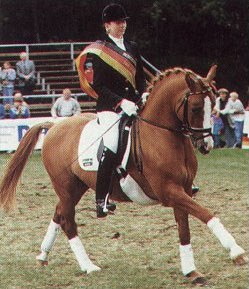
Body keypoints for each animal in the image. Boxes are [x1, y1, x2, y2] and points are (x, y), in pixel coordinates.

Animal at [0, 65, 247, 284]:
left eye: (213, 104)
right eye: (195, 107)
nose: (206, 145)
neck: (162, 135)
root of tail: (54, 126)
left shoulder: (183, 190)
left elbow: (184, 228)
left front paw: (190, 271)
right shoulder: (169, 192)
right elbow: (206, 213)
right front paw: (236, 251)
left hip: (76, 187)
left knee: (58, 214)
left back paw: (43, 255)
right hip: (65, 186)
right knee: (68, 221)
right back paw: (88, 266)